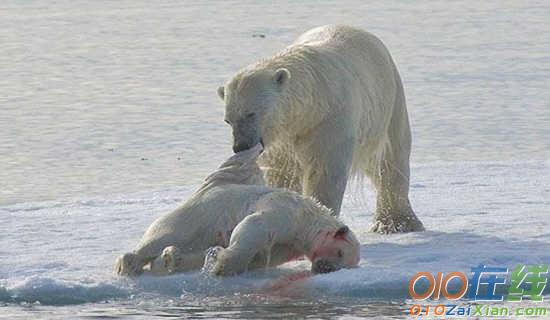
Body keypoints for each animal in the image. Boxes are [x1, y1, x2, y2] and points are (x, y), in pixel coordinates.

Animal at [113, 144, 362, 276]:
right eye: (340, 252)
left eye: (345, 264)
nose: (324, 268)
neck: (308, 220)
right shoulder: (285, 210)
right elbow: (255, 226)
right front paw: (222, 266)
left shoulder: (290, 246)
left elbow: (262, 258)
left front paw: (215, 259)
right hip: (192, 216)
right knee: (162, 236)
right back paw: (130, 264)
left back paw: (169, 259)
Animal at [220, 24, 426, 232]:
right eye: (228, 120)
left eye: (251, 113)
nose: (240, 146)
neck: (312, 100)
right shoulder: (283, 138)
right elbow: (282, 172)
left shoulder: (330, 118)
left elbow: (325, 171)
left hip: (389, 102)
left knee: (392, 159)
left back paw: (398, 222)